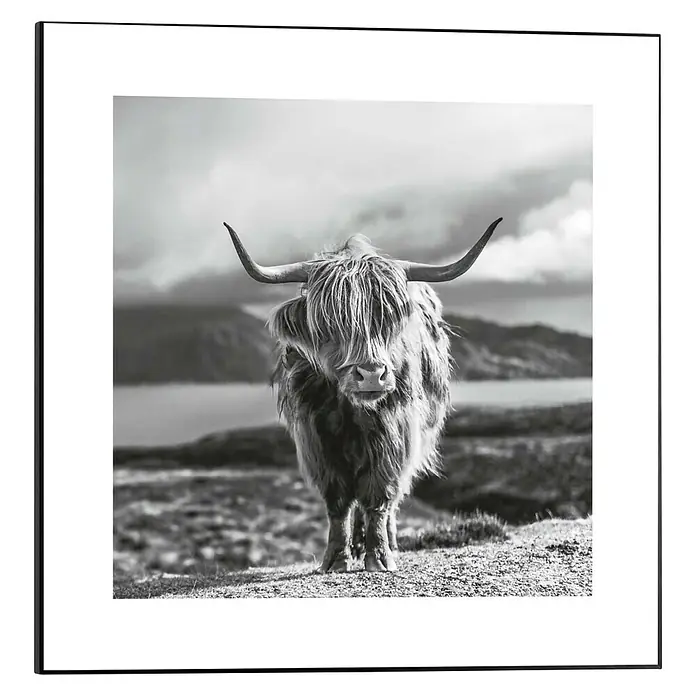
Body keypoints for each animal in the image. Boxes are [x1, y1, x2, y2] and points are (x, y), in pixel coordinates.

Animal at [223, 218, 502, 572]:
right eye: (329, 323)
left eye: (389, 318)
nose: (371, 374)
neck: (353, 411)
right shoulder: (316, 440)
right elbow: (338, 501)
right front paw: (336, 558)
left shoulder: (395, 436)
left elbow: (379, 496)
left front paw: (379, 556)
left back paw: (388, 543)